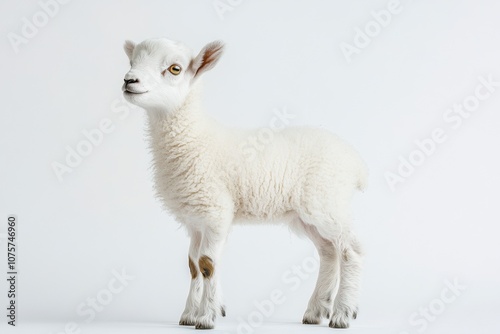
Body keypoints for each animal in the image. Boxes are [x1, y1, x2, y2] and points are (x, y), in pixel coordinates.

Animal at [122, 37, 368, 330]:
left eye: (174, 69)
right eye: (131, 61)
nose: (129, 80)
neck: (194, 138)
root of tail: (355, 161)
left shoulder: (214, 211)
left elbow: (207, 265)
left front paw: (205, 318)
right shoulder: (196, 219)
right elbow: (193, 265)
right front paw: (190, 314)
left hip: (327, 203)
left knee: (351, 251)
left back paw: (343, 313)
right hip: (308, 216)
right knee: (329, 252)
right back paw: (316, 310)